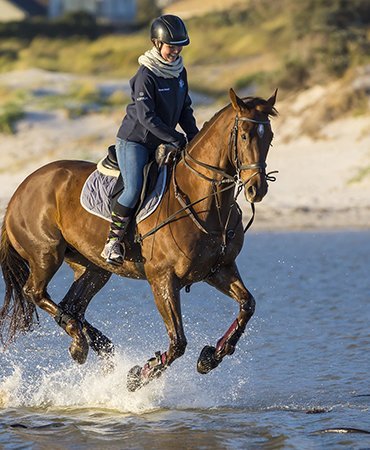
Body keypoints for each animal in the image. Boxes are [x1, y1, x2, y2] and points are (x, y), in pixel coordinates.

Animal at [0, 89, 276, 392]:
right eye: (244, 136)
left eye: (270, 137)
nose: (257, 188)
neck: (204, 202)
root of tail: (20, 189)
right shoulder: (162, 279)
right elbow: (178, 342)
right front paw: (139, 375)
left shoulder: (218, 270)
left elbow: (247, 305)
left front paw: (210, 357)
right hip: (45, 254)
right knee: (36, 292)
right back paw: (80, 343)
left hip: (93, 267)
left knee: (72, 306)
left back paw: (95, 346)